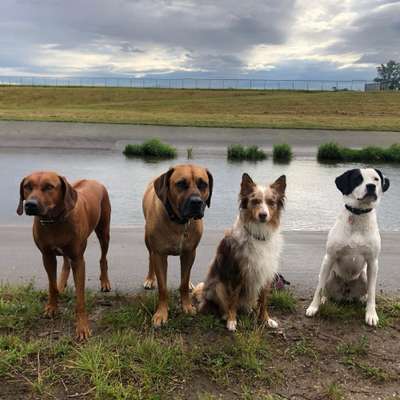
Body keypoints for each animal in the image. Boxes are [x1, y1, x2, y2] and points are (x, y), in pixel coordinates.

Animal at [16, 170, 111, 340]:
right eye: (27, 186)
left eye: (49, 187)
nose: (30, 205)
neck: (54, 221)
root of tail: (94, 181)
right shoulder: (47, 256)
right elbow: (51, 285)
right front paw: (52, 307)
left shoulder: (78, 259)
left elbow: (80, 298)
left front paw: (82, 327)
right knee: (66, 263)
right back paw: (61, 283)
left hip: (104, 231)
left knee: (103, 258)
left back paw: (105, 282)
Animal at [143, 164, 214, 326]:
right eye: (181, 184)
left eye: (203, 184)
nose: (196, 202)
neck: (180, 222)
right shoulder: (159, 254)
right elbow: (163, 287)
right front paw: (161, 314)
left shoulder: (190, 252)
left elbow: (184, 281)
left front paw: (186, 306)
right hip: (148, 241)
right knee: (150, 258)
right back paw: (150, 278)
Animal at [308, 167, 390, 326]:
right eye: (358, 179)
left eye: (376, 179)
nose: (371, 186)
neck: (358, 215)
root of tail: (346, 293)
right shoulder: (329, 257)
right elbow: (319, 288)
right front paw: (313, 307)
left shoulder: (373, 262)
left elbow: (372, 292)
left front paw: (371, 314)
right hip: (329, 274)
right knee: (324, 287)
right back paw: (324, 299)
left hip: (364, 276)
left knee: (366, 291)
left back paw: (362, 299)